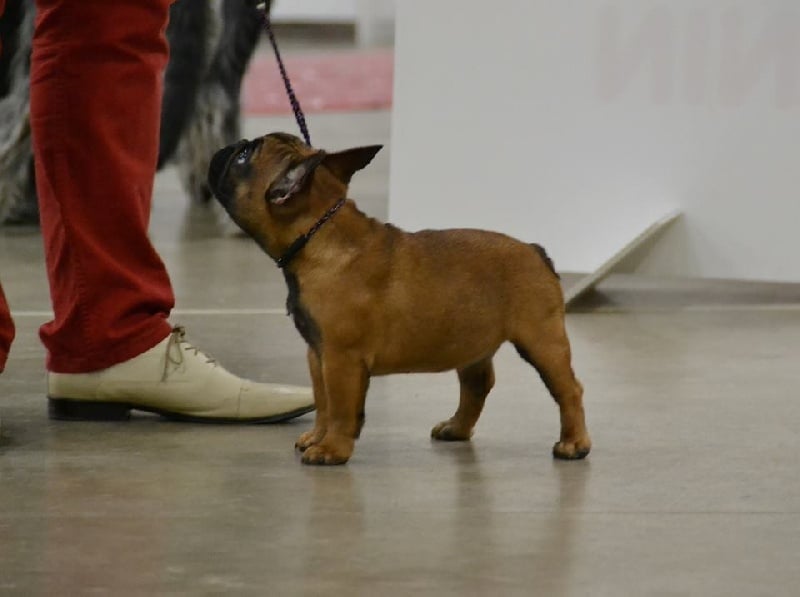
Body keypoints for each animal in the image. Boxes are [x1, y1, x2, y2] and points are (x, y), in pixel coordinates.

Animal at [207, 132, 592, 465]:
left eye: (244, 156)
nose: (235, 143)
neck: (318, 235)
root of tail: (535, 250)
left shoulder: (341, 358)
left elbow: (341, 408)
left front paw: (332, 449)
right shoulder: (317, 354)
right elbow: (323, 401)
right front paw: (317, 437)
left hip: (541, 340)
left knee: (569, 389)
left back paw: (574, 444)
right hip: (472, 342)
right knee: (478, 385)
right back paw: (456, 428)